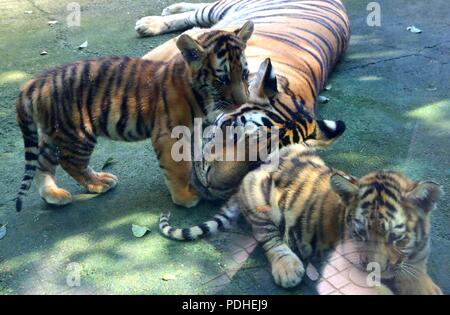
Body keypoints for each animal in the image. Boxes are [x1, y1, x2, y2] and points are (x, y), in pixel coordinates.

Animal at [14, 24, 253, 212]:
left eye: (244, 74)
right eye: (222, 80)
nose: (243, 102)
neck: (200, 94)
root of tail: (34, 83)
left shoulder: (192, 130)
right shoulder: (169, 134)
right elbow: (178, 167)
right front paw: (184, 197)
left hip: (53, 133)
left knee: (43, 164)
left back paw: (53, 194)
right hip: (77, 133)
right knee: (70, 162)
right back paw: (98, 183)